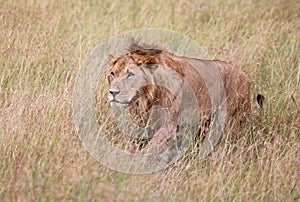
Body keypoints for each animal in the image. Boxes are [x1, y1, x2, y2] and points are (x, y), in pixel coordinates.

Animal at [106, 42, 262, 158]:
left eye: (130, 75)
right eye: (113, 74)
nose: (113, 92)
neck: (146, 99)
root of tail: (245, 76)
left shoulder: (168, 126)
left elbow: (148, 150)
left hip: (234, 120)